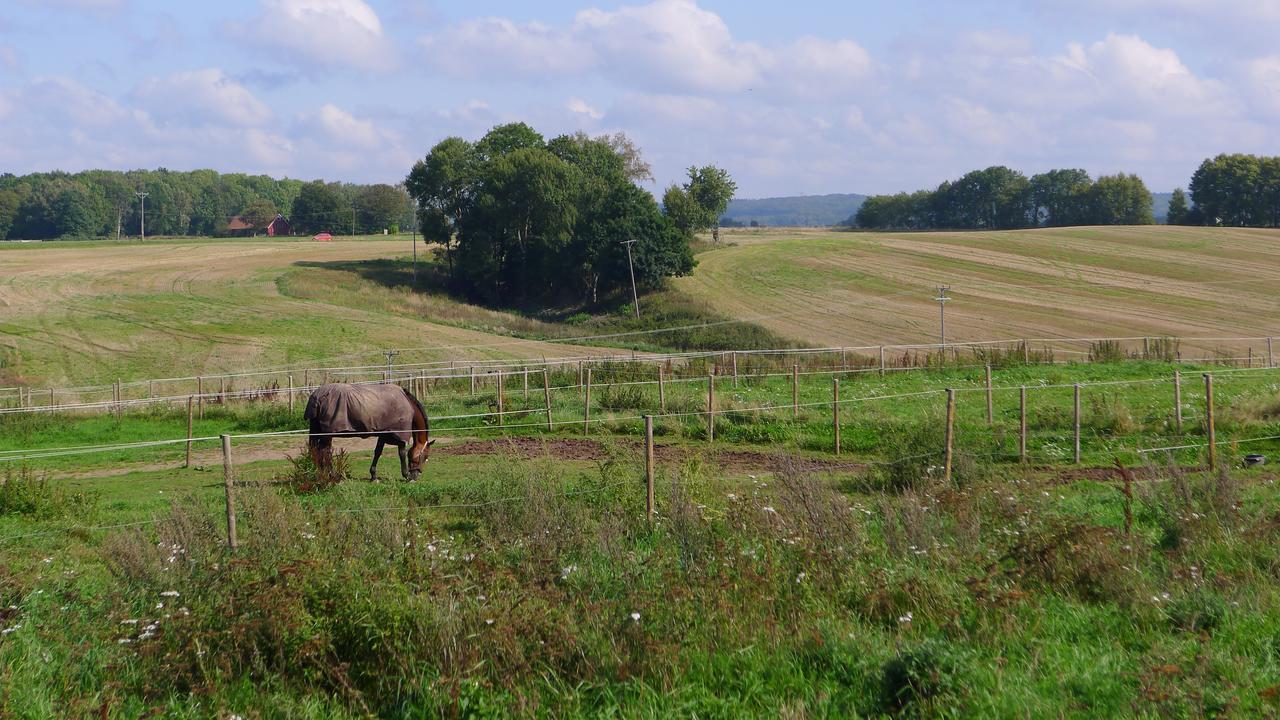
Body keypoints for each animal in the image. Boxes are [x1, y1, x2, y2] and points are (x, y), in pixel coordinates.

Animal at [304, 381, 435, 481]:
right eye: (425, 456)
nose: (416, 475)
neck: (408, 404)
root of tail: (317, 396)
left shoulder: (384, 434)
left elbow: (377, 452)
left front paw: (373, 476)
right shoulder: (400, 434)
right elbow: (402, 453)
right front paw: (406, 475)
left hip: (318, 431)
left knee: (316, 450)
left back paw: (319, 472)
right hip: (328, 434)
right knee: (325, 452)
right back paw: (332, 475)